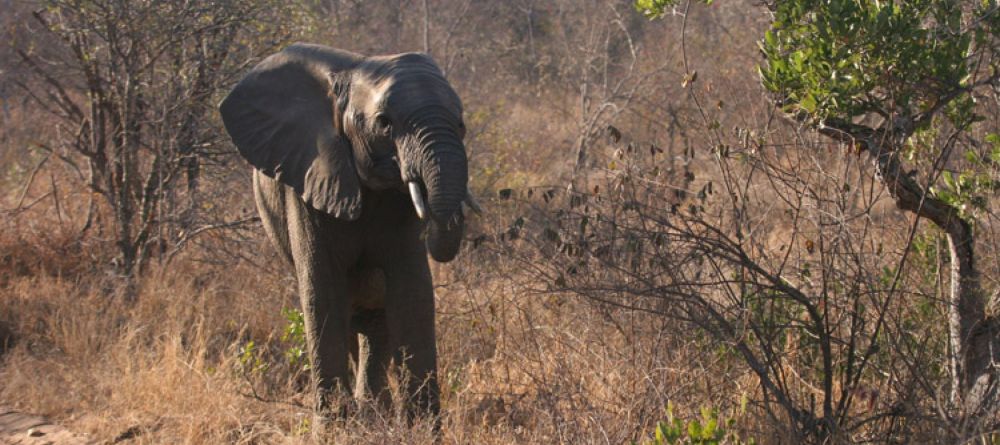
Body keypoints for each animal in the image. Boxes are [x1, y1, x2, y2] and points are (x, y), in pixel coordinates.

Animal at [219, 43, 477, 422]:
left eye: (460, 123)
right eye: (384, 124)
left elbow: (411, 292)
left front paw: (419, 428)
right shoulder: (310, 179)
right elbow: (323, 295)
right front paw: (334, 428)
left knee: (374, 324)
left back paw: (373, 412)